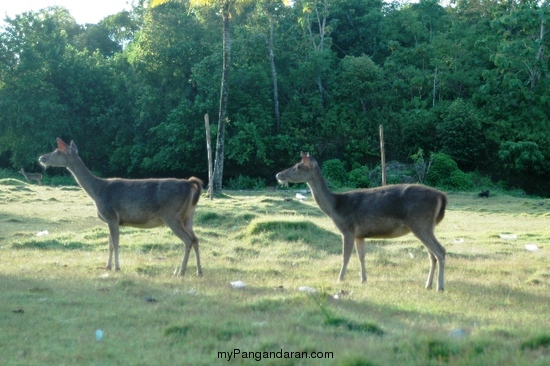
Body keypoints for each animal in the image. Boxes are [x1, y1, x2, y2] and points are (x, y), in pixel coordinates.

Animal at [39, 139, 205, 276]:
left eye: (57, 151)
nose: (41, 158)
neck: (96, 191)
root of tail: (189, 184)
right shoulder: (109, 220)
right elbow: (110, 244)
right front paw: (107, 266)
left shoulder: (111, 215)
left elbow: (116, 243)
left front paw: (117, 267)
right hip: (188, 216)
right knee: (195, 239)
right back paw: (199, 271)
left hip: (172, 214)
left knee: (188, 240)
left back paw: (181, 271)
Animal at [276, 153, 448, 290]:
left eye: (298, 166)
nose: (278, 174)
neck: (335, 208)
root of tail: (441, 196)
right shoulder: (360, 234)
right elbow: (361, 256)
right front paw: (363, 280)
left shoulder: (348, 229)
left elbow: (345, 256)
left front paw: (340, 279)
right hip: (425, 226)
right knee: (432, 255)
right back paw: (428, 285)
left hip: (420, 223)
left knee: (440, 251)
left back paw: (440, 286)